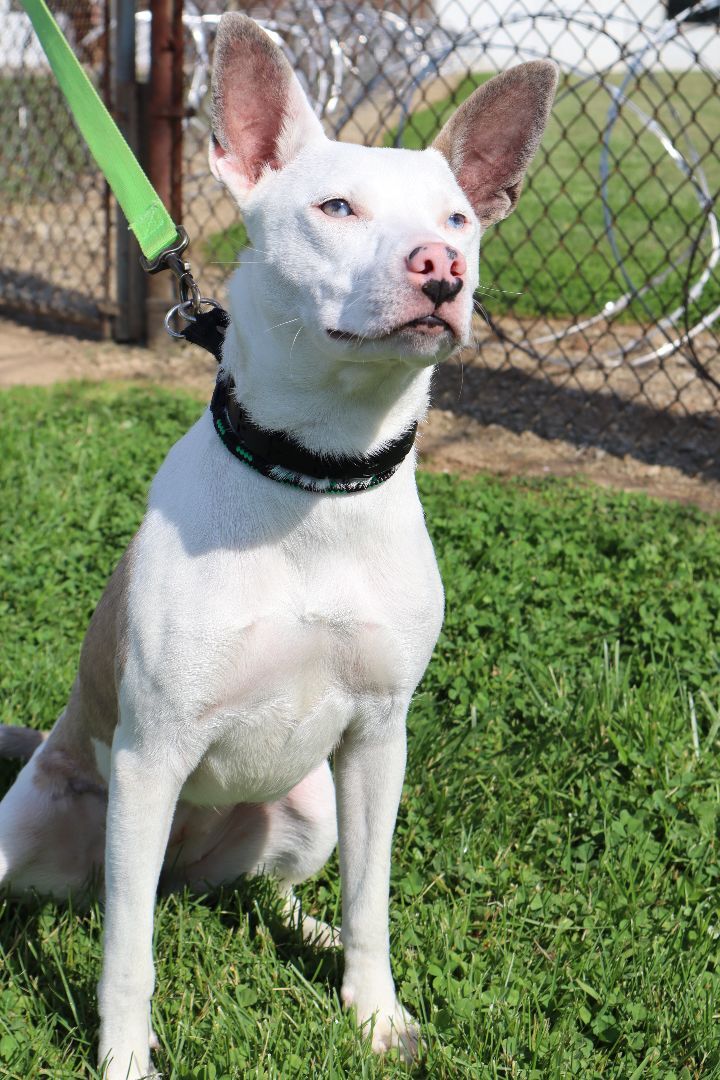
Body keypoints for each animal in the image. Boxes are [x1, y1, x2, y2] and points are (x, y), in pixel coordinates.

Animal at [0, 14, 557, 1071]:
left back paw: (308, 930)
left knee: (268, 888)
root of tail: (182, 868)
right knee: (110, 900)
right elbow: (126, 955)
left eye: (460, 217)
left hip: (304, 810)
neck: (316, 479)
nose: (442, 267)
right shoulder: (149, 758)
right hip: (42, 824)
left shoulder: (378, 740)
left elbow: (375, 898)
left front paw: (373, 1012)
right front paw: (124, 1058)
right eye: (336, 207)